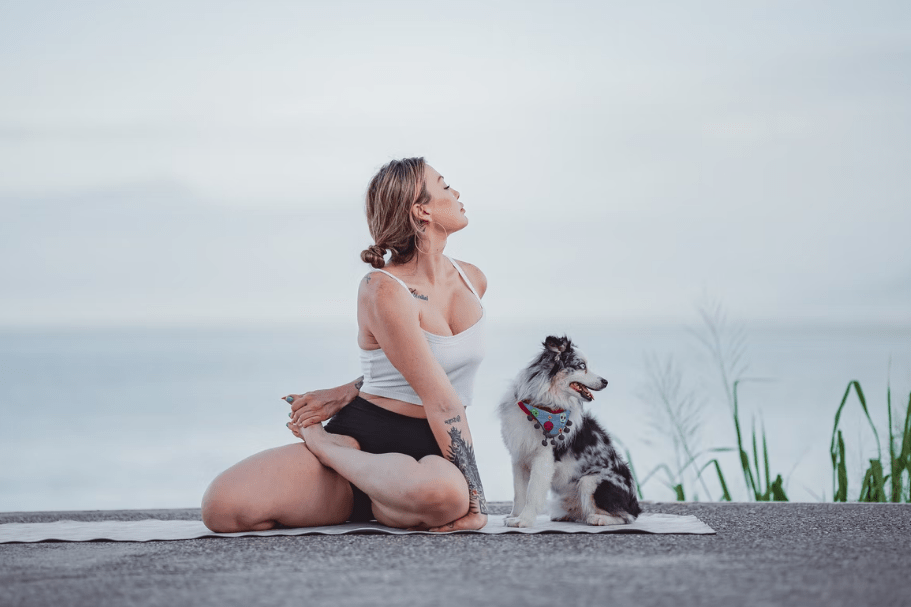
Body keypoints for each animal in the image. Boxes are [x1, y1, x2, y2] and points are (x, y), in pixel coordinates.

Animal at [498, 338, 640, 528]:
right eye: (581, 366)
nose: (605, 381)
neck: (542, 407)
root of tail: (635, 503)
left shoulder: (544, 458)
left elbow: (532, 493)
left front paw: (524, 520)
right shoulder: (520, 457)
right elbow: (519, 493)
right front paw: (515, 516)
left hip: (589, 481)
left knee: (627, 516)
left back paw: (598, 518)